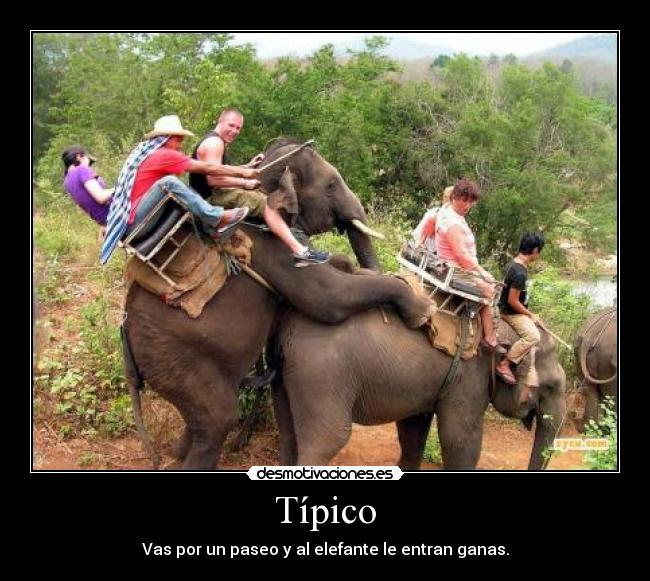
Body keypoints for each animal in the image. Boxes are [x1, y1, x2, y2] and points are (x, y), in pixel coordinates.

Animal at [124, 139, 434, 470]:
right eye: (331, 185)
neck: (263, 179)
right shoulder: (273, 246)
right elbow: (327, 298)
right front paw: (423, 311)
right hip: (174, 358)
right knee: (217, 419)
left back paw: (177, 455)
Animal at [271, 295, 567, 470]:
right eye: (551, 387)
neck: (501, 326)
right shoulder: (469, 381)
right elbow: (461, 440)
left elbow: (413, 431)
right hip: (323, 376)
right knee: (328, 440)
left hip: (290, 376)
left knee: (289, 434)